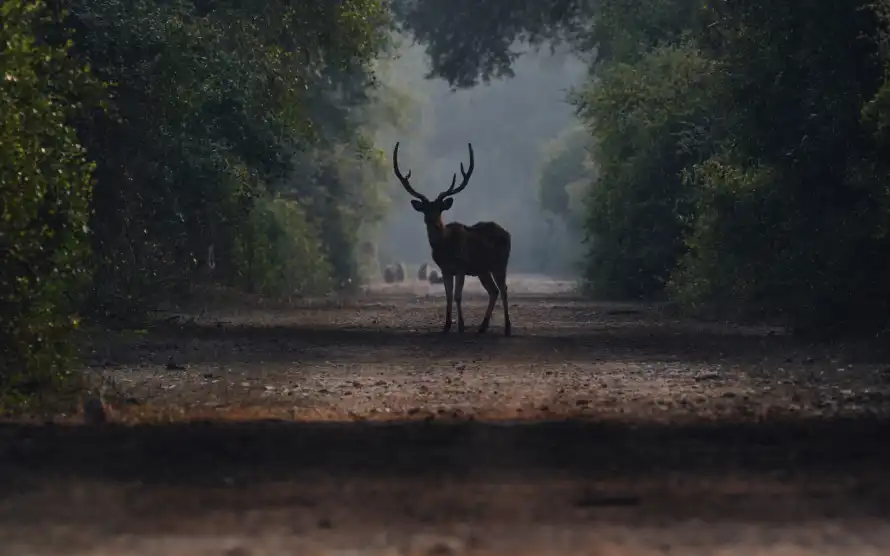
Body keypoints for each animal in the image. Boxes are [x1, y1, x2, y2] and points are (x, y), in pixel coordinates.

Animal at [392, 142, 512, 336]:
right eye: (425, 209)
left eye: (440, 209)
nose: (432, 221)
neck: (445, 247)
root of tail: (508, 233)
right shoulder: (445, 269)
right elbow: (448, 296)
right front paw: (447, 326)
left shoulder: (462, 266)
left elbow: (457, 295)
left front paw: (461, 326)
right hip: (482, 269)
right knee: (493, 291)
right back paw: (482, 327)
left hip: (500, 263)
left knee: (503, 289)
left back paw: (508, 328)